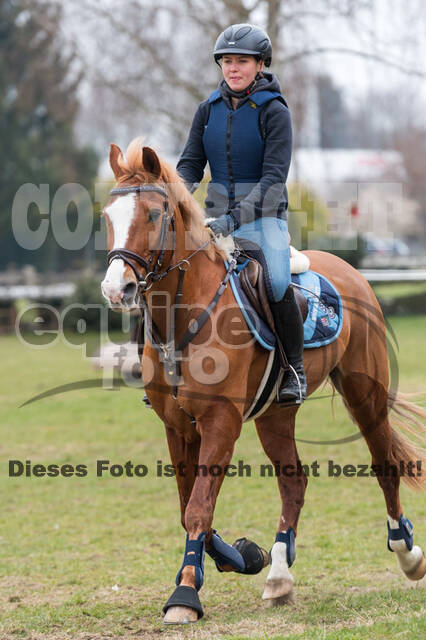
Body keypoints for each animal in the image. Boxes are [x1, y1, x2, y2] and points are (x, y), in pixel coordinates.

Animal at [102, 138, 426, 624]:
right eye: (108, 216)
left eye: (155, 215)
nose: (115, 289)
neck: (186, 314)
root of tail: (350, 271)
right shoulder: (178, 427)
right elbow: (189, 509)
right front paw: (242, 556)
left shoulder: (220, 423)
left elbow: (198, 507)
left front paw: (185, 594)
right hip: (275, 414)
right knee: (294, 483)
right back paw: (277, 574)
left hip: (364, 393)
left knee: (384, 463)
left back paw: (407, 553)